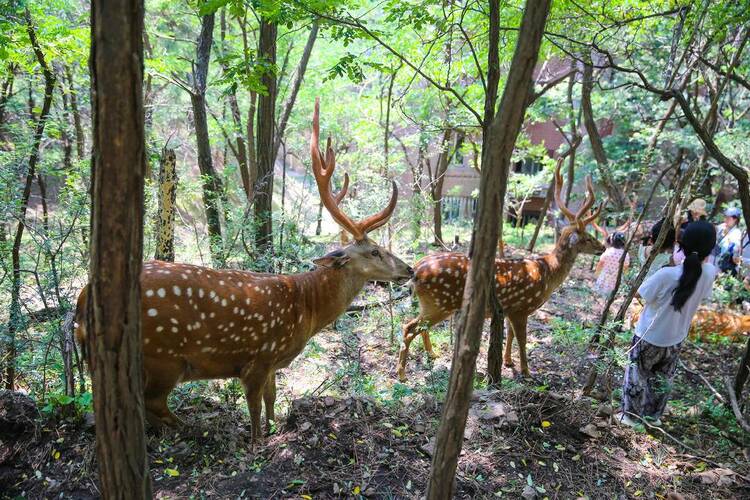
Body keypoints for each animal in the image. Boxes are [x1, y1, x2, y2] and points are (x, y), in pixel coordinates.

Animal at [75, 99, 414, 440]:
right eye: (375, 251)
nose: (409, 269)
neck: (306, 305)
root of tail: (81, 302)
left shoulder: (272, 362)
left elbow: (271, 399)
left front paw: (275, 428)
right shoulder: (258, 357)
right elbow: (253, 408)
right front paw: (257, 440)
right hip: (162, 356)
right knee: (153, 403)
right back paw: (193, 430)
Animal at [400, 162, 604, 380]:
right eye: (588, 238)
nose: (602, 247)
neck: (547, 272)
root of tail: (416, 271)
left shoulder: (508, 309)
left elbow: (511, 335)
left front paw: (508, 362)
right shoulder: (521, 308)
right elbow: (522, 339)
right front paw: (526, 372)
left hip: (432, 304)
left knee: (419, 328)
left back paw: (431, 354)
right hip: (440, 303)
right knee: (409, 327)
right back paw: (402, 373)